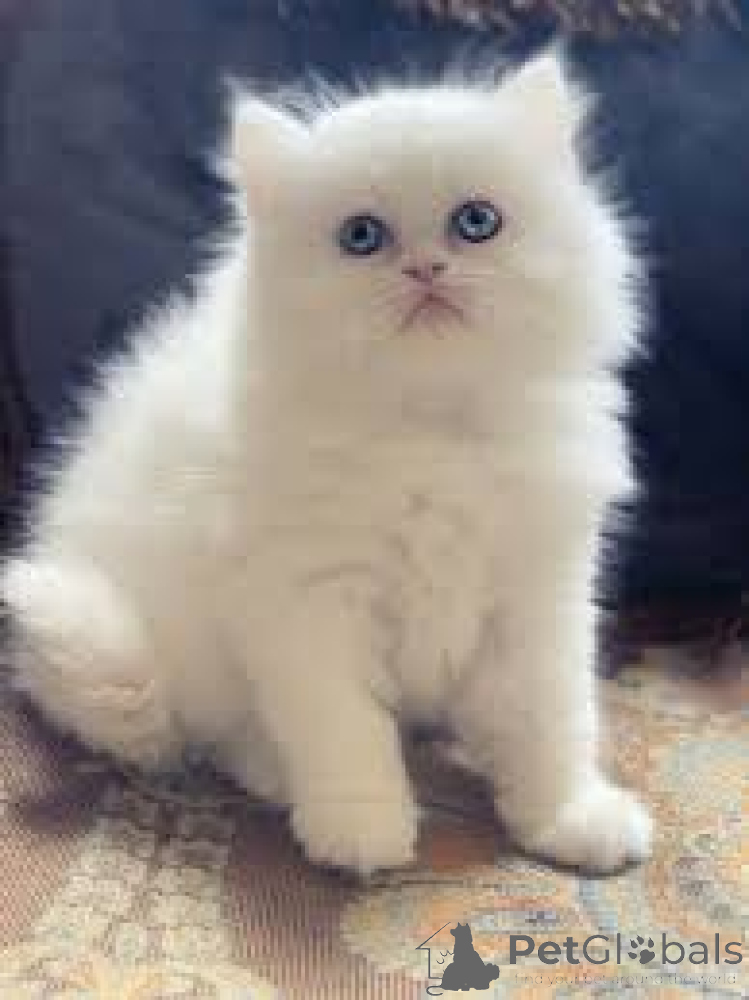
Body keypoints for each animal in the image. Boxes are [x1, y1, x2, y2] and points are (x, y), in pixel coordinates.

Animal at [1, 49, 652, 875]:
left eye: (476, 222)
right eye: (361, 237)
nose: (425, 269)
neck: (428, 428)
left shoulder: (540, 594)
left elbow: (551, 722)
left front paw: (566, 820)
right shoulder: (307, 599)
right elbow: (343, 729)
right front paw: (361, 832)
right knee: (218, 735)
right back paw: (276, 778)